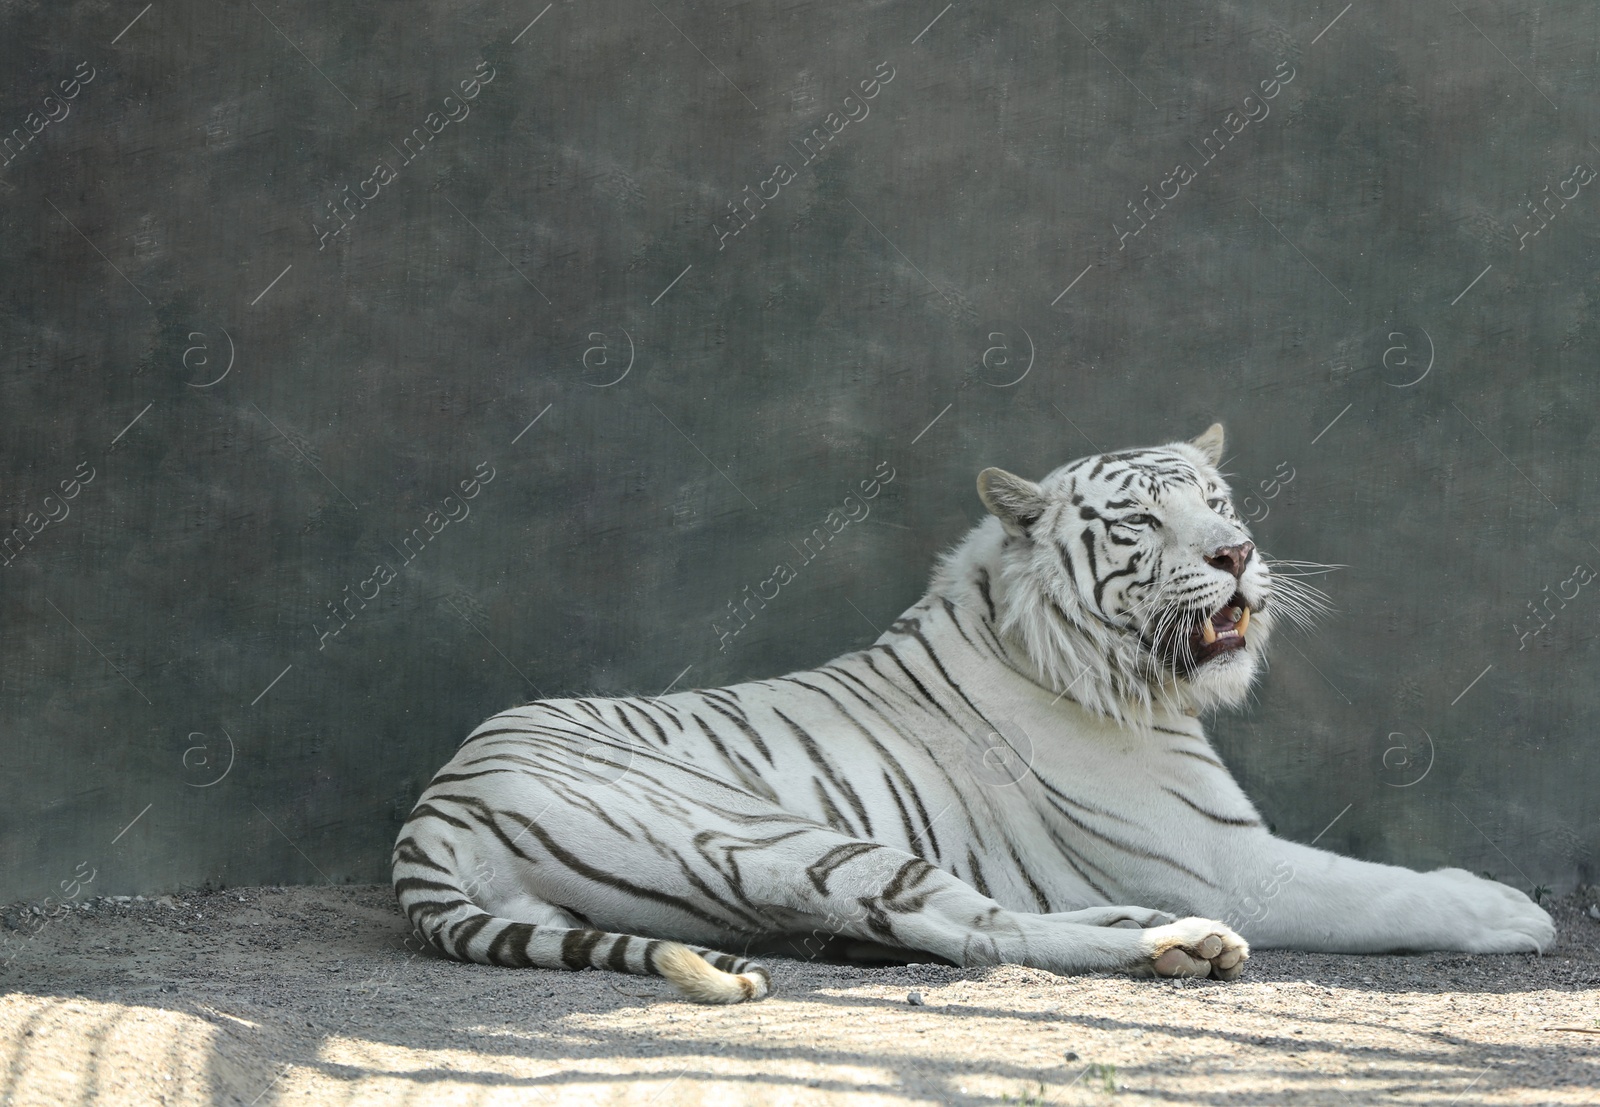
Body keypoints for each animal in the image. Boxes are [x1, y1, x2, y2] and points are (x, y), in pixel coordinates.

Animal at [393, 423, 1555, 1002]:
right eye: (1141, 522)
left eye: (1218, 503)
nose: (1236, 555)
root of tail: (429, 818)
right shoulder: (1230, 861)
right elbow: (1384, 888)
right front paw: (1509, 909)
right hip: (785, 837)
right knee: (974, 933)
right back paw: (1171, 944)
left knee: (961, 925)